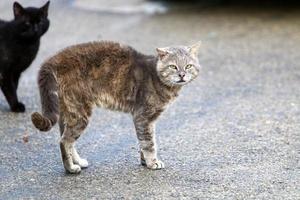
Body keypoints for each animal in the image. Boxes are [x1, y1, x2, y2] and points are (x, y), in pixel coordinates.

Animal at [31, 40, 200, 173]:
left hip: (68, 112)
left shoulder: (148, 121)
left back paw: (77, 162)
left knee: (68, 140)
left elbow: (145, 140)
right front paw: (152, 162)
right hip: (80, 112)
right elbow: (149, 142)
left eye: (188, 66)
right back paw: (71, 168)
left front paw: (145, 161)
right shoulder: (143, 116)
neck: (156, 77)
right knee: (64, 141)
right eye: (173, 67)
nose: (182, 75)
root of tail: (53, 60)